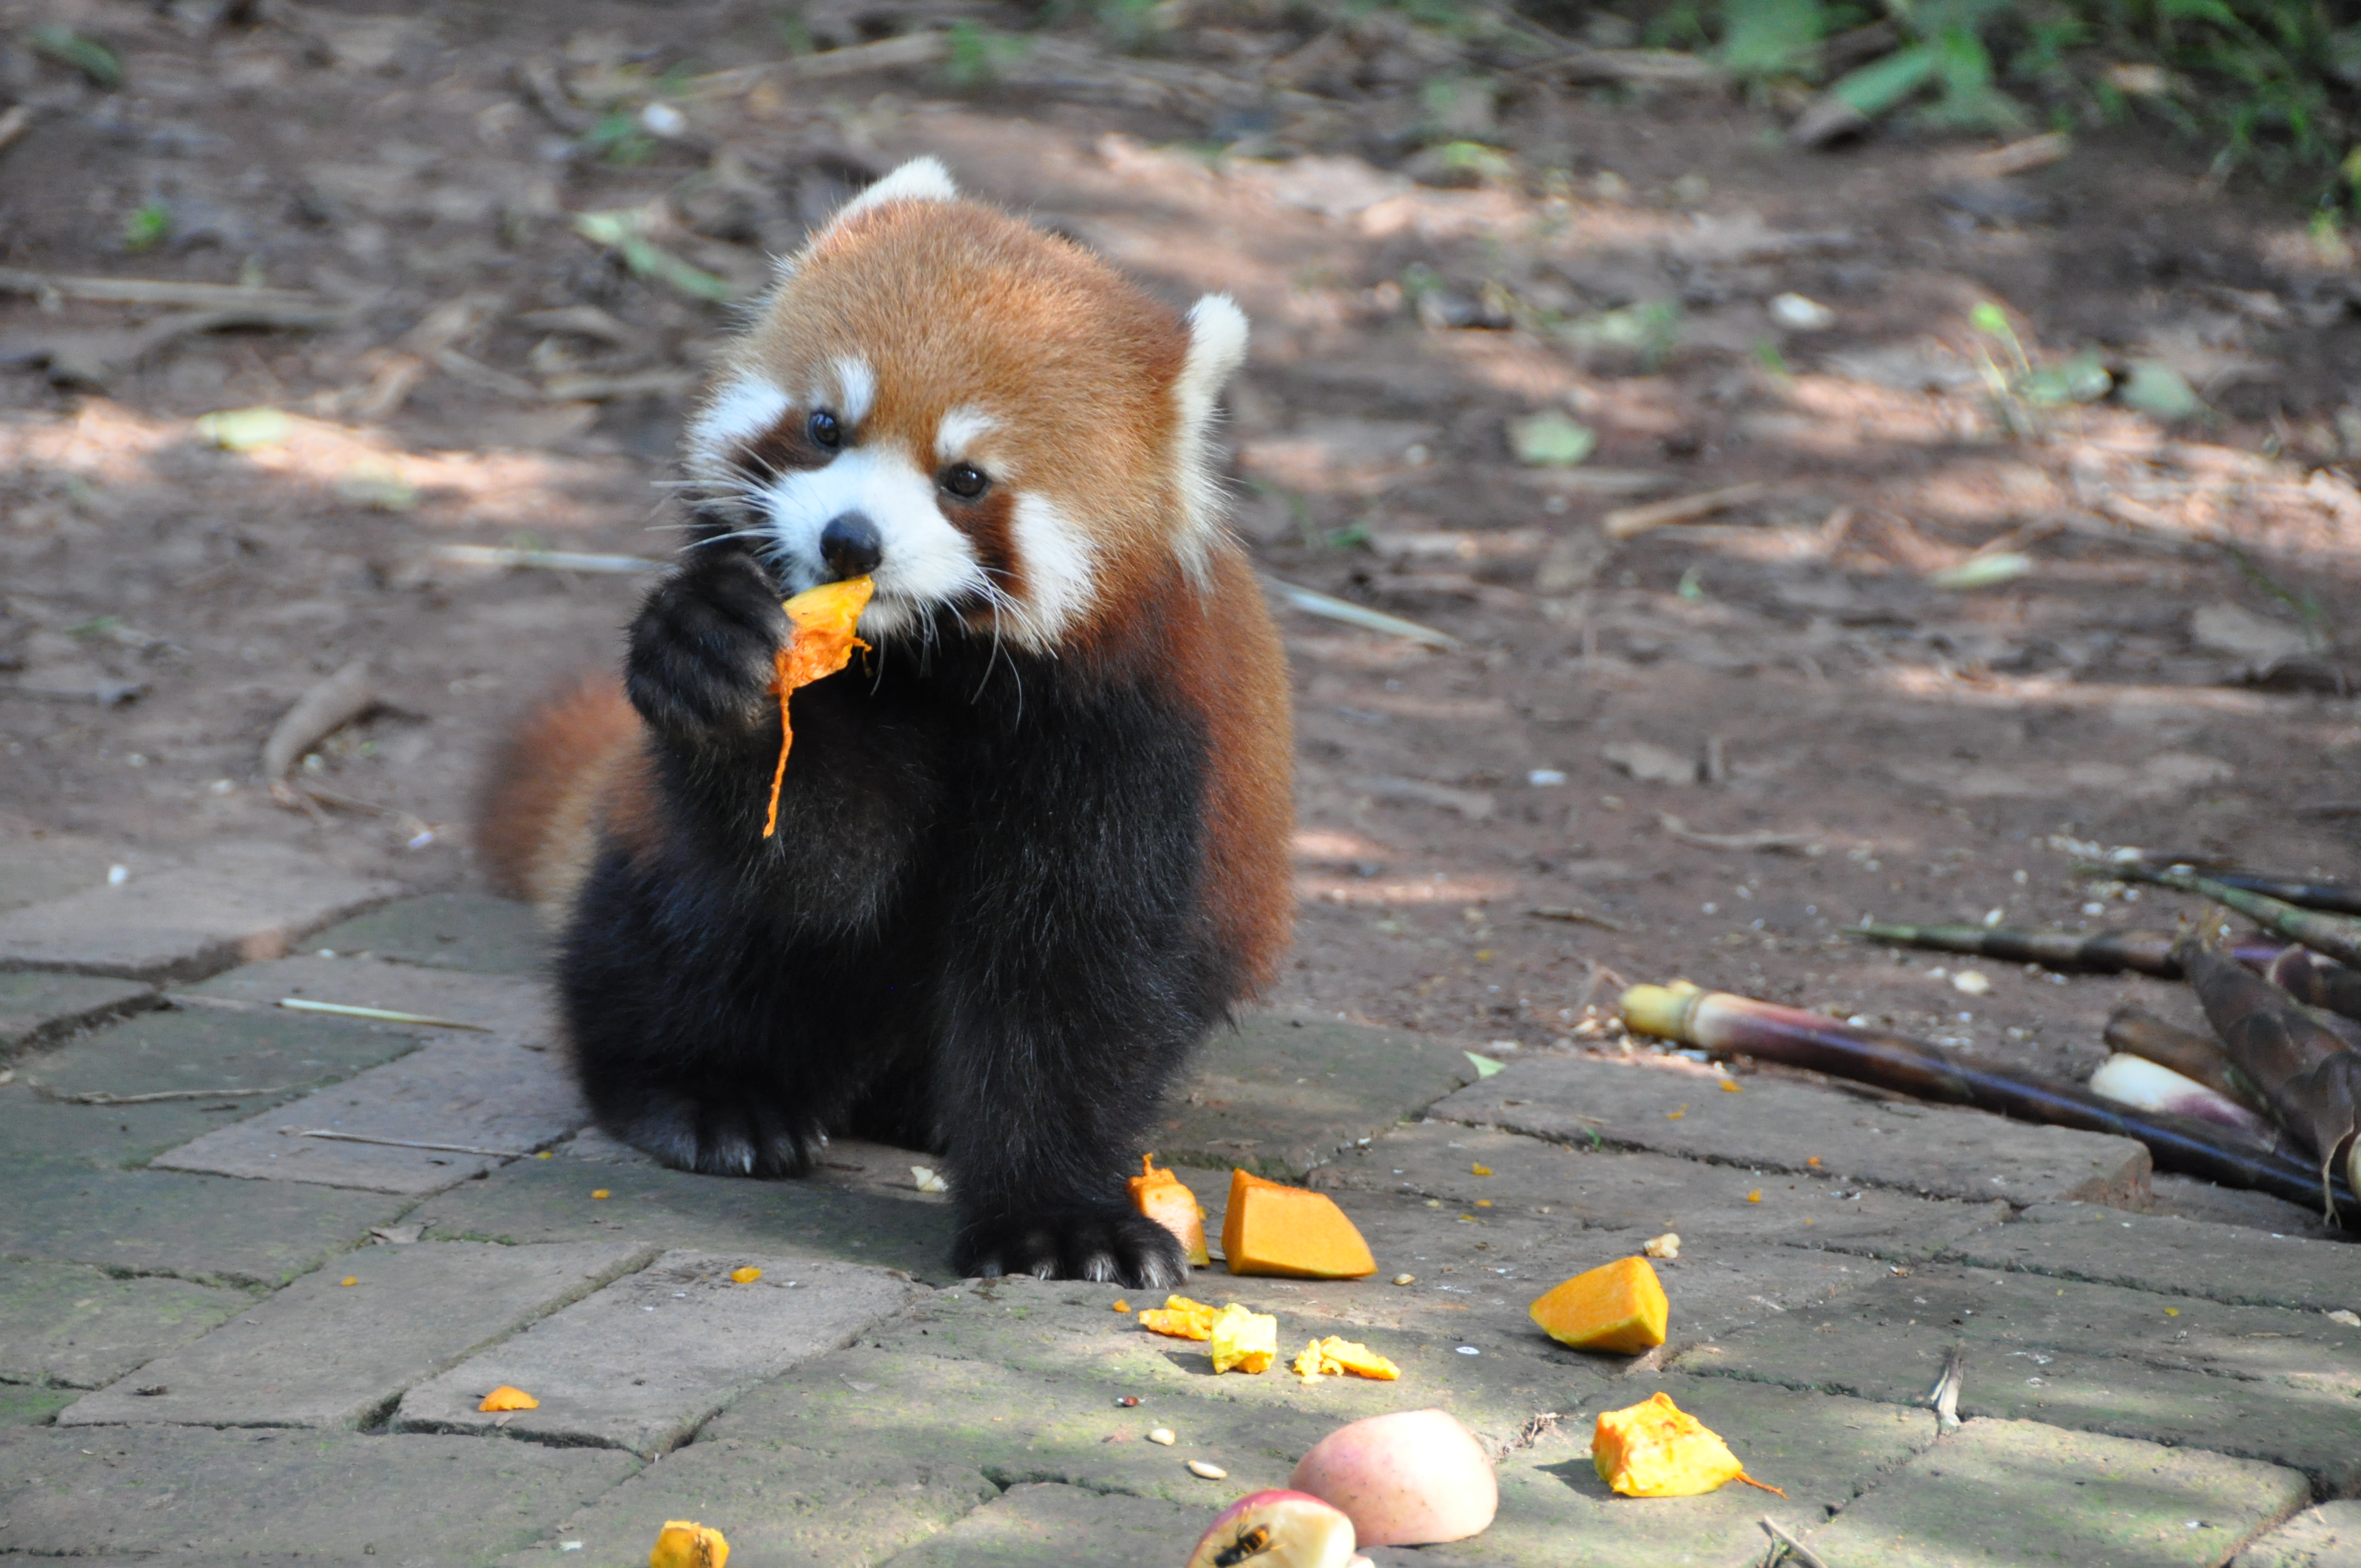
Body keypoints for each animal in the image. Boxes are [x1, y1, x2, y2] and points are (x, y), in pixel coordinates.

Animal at [472, 159, 1293, 1284]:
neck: (929, 663)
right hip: (659, 850)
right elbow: (826, 867)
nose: (849, 541)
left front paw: (1057, 1215)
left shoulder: (1131, 729)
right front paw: (715, 658)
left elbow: (1074, 973)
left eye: (965, 480)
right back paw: (701, 1093)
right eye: (827, 427)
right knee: (691, 927)